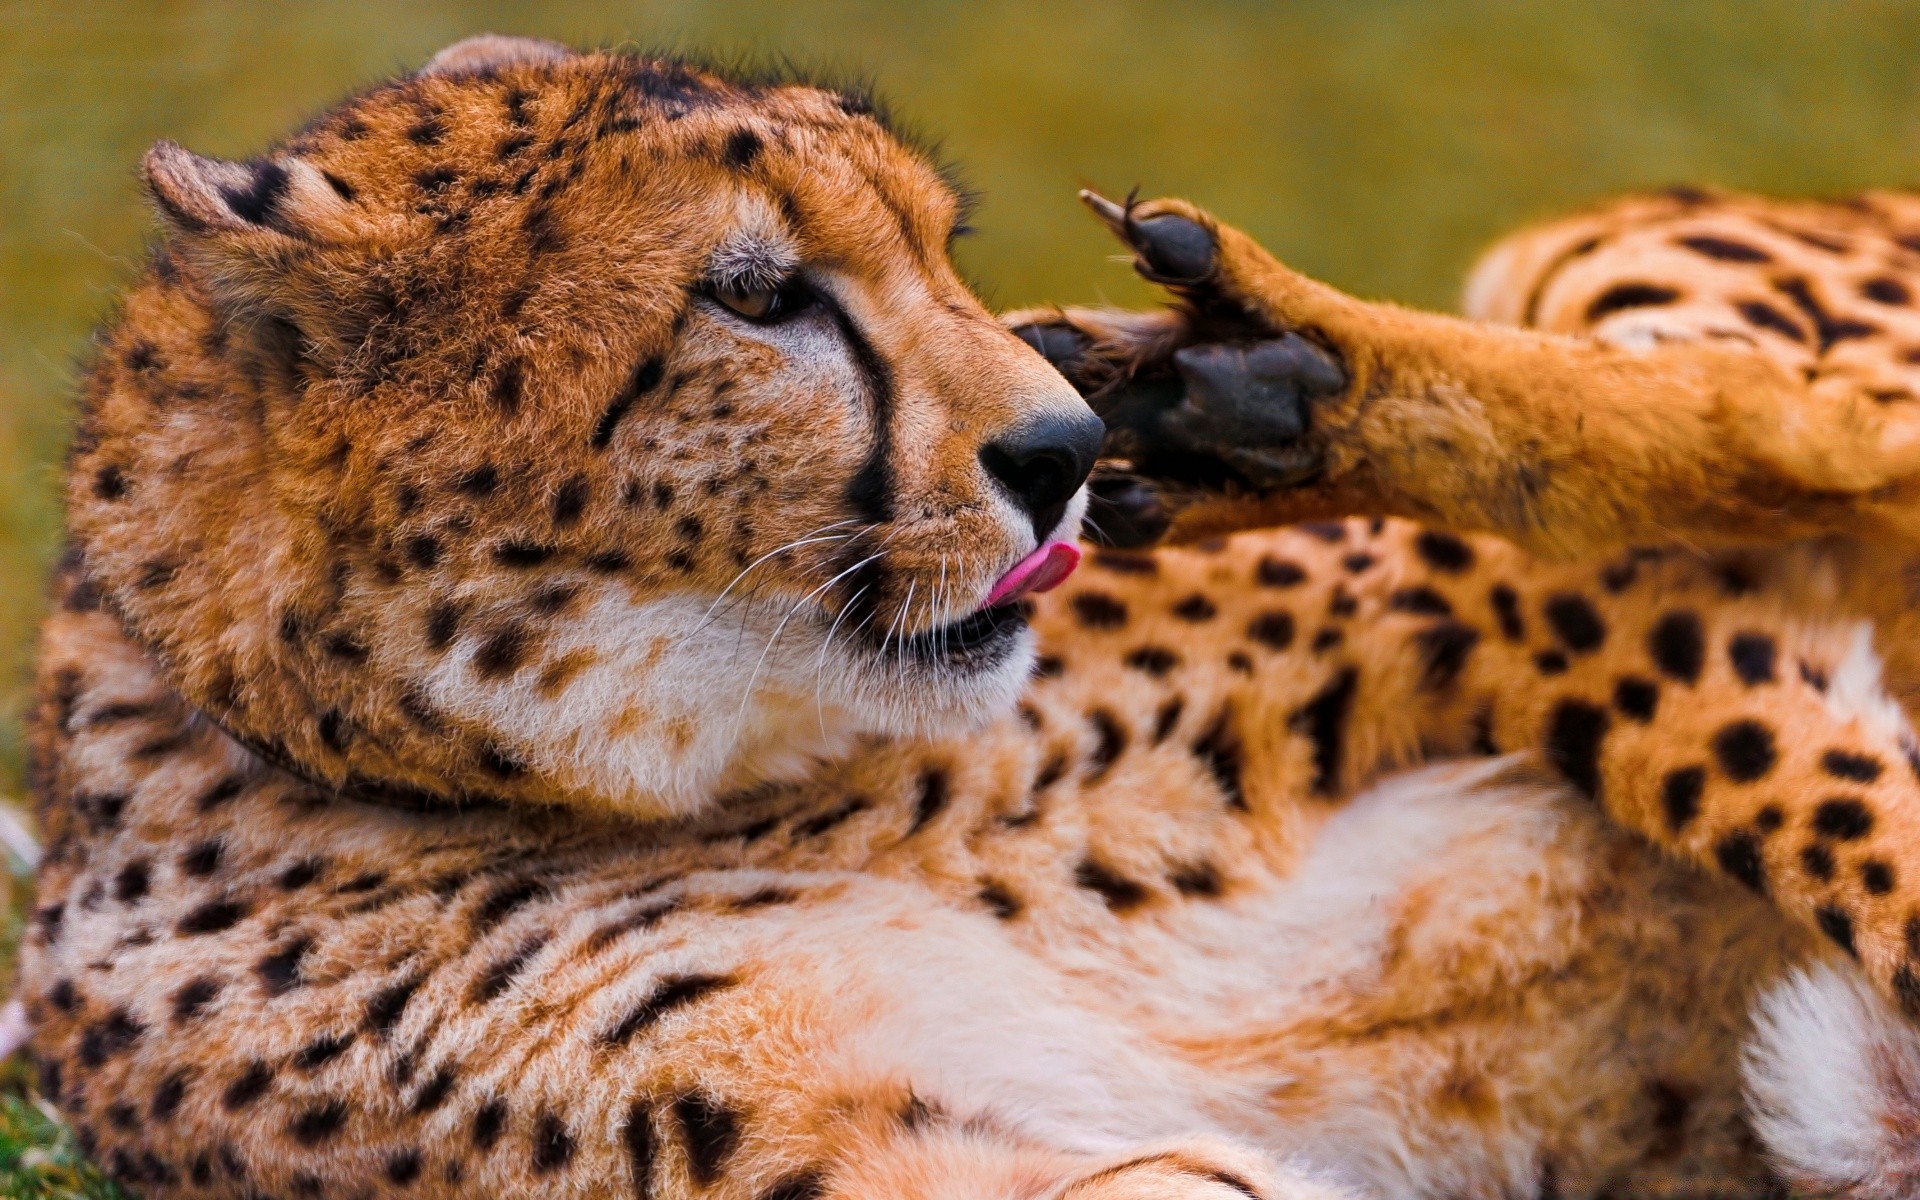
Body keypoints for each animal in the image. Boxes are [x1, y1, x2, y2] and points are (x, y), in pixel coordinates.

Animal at [22, 32, 1920, 1198]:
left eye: (941, 250)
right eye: (758, 295)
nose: (1065, 452)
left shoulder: (1528, 604)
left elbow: (1831, 811)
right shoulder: (944, 1152)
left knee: (1835, 422)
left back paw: (1268, 375)